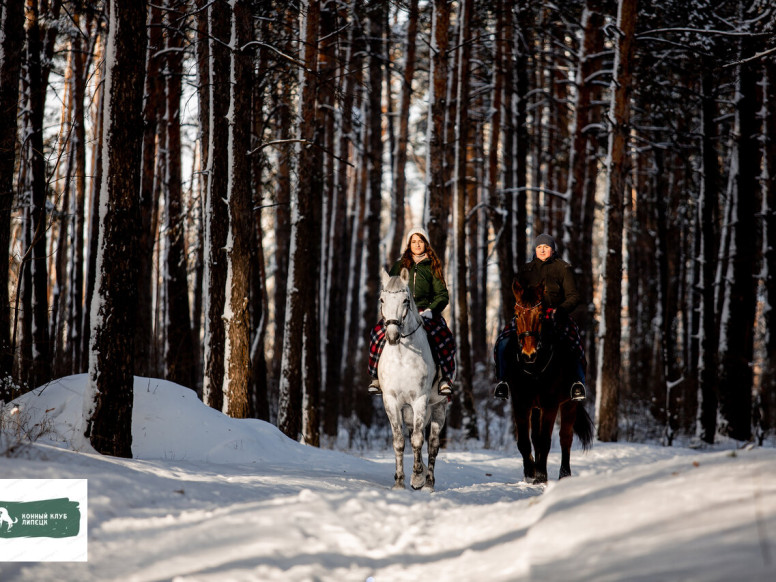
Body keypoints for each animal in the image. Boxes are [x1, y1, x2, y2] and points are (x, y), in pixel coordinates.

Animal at [378, 270, 448, 492]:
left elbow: (418, 440)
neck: (402, 355)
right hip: (408, 411)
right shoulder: (391, 401)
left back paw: (428, 483)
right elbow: (399, 441)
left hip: (438, 406)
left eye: (405, 300)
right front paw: (399, 482)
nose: (392, 336)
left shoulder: (420, 400)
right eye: (382, 299)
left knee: (432, 444)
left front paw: (417, 477)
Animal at [504, 280, 596, 486]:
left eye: (540, 315)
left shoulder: (550, 404)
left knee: (565, 438)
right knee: (535, 438)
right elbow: (524, 441)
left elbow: (546, 440)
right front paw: (530, 473)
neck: (534, 369)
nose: (528, 354)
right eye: (516, 314)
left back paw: (564, 474)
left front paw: (540, 476)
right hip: (536, 408)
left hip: (569, 404)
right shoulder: (521, 403)